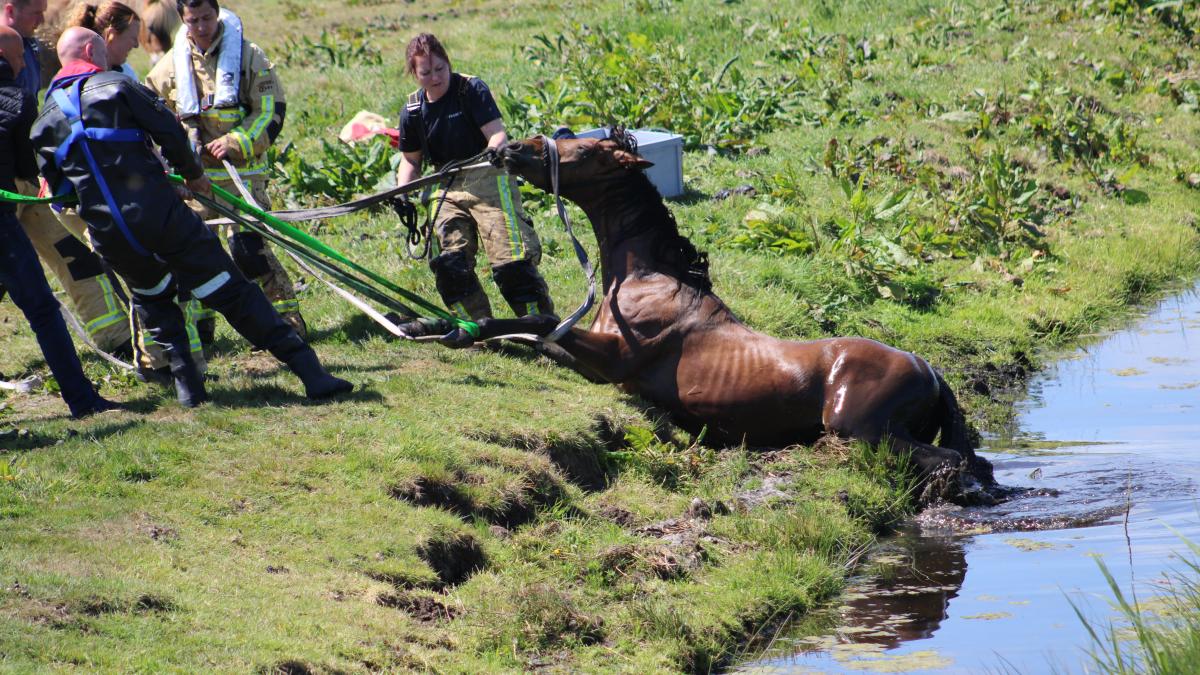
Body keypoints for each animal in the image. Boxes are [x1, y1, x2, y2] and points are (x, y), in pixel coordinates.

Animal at [489, 130, 997, 504]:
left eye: (584, 149)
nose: (508, 150)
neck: (645, 276)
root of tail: (927, 367)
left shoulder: (614, 361)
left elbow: (541, 324)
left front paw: (475, 329)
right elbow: (541, 337)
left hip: (865, 431)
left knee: (948, 460)